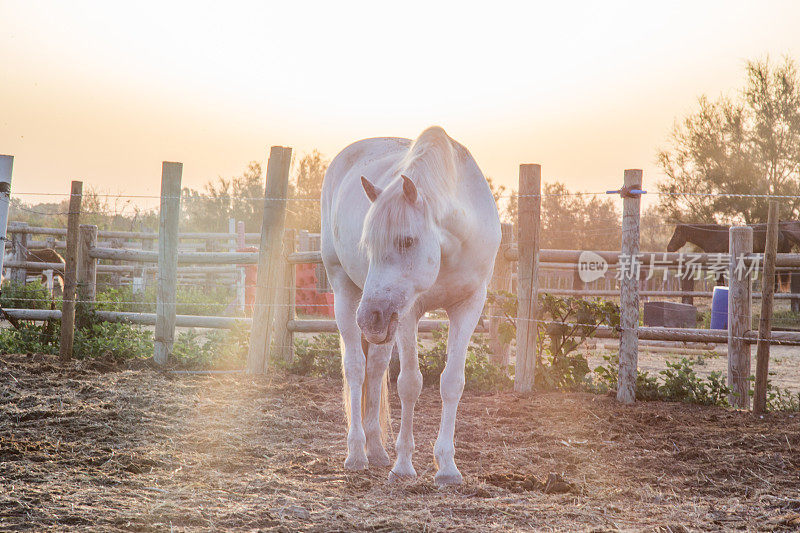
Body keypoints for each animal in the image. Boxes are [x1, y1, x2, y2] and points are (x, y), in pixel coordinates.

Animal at [320, 127, 500, 484]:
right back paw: (357, 453)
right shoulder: (407, 312)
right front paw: (404, 465)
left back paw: (377, 451)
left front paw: (447, 468)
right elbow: (409, 384)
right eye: (368, 244)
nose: (369, 318)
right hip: (347, 294)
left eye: (406, 240)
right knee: (356, 368)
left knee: (375, 369)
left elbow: (452, 382)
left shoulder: (469, 306)